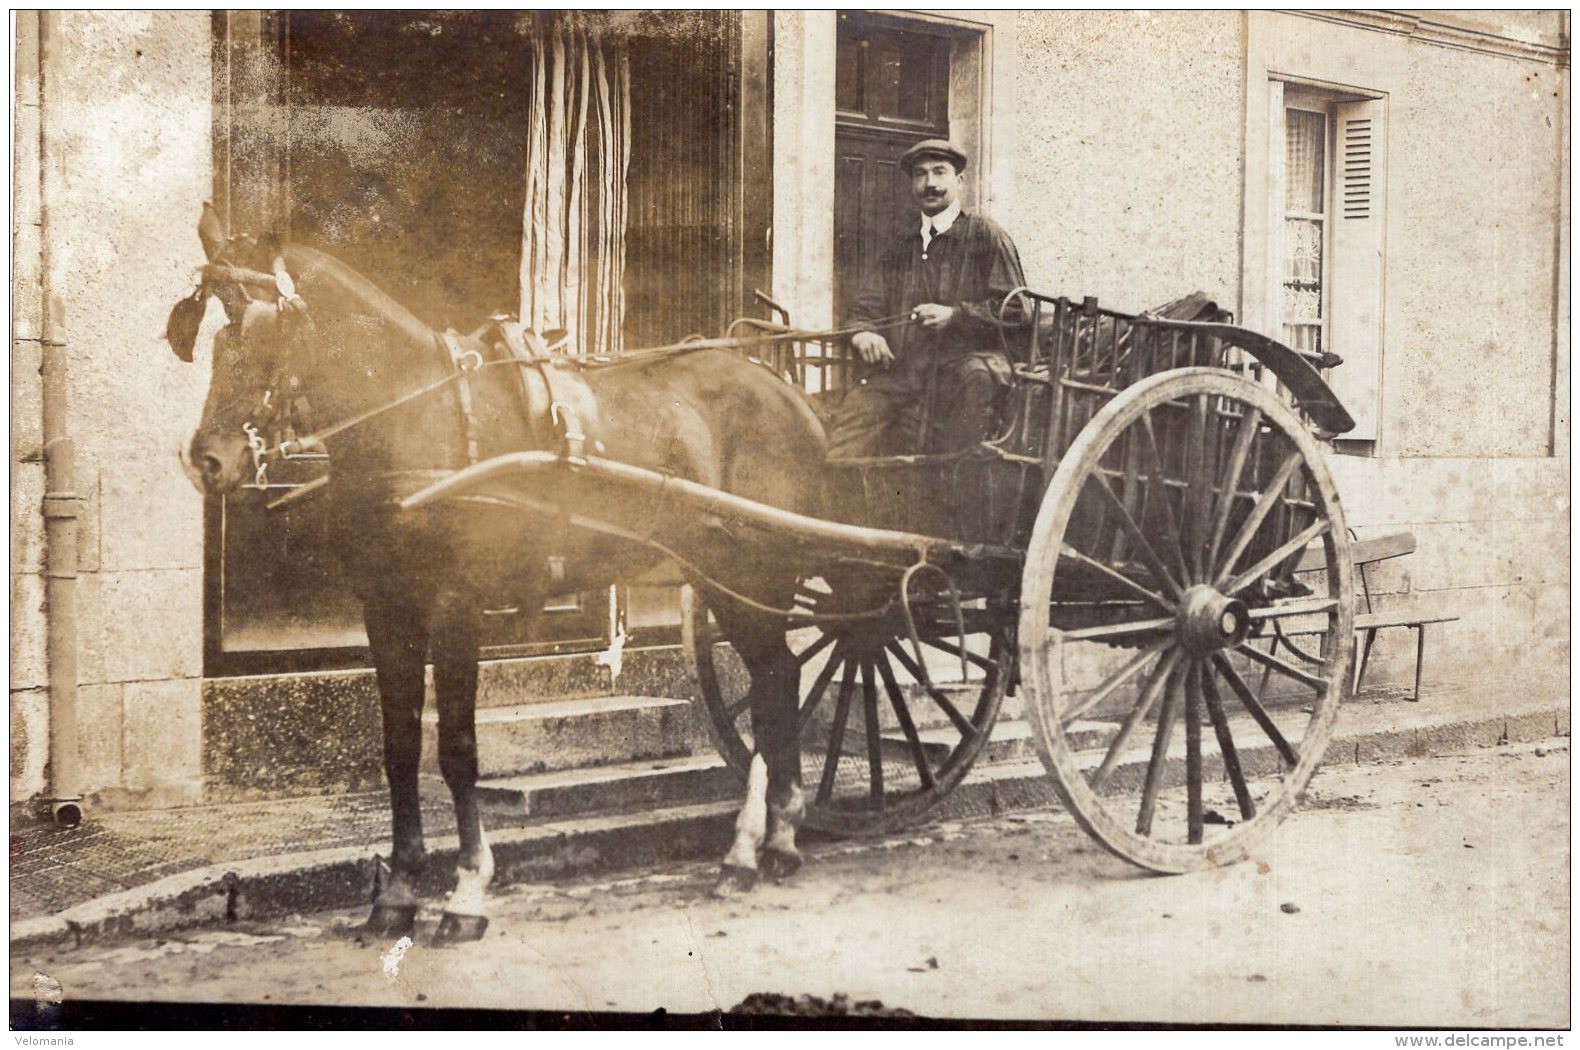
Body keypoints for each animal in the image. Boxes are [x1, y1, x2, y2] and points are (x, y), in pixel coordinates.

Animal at [173, 211, 827, 941]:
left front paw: (466, 891)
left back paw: (754, 846)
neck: (412, 414)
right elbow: (400, 747)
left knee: (774, 682)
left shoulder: (456, 605)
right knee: (778, 680)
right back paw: (771, 843)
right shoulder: (386, 607)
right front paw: (397, 892)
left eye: (262, 329)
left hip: (751, 573)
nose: (207, 460)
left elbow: (457, 748)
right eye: (204, 331)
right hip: (720, 577)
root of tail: (787, 391)